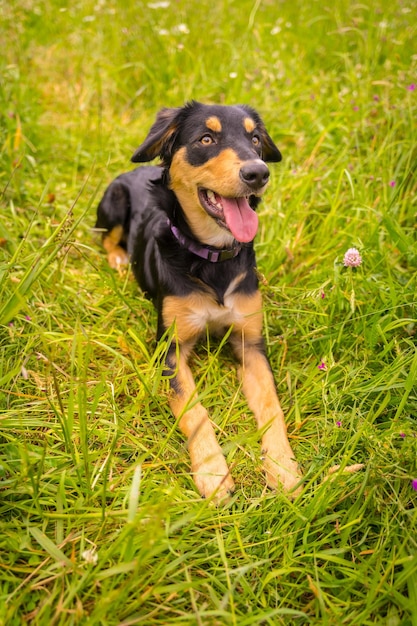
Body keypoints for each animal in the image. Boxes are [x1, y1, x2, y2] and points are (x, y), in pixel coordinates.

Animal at [96, 102, 300, 502]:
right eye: (206, 139)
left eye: (255, 138)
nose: (258, 172)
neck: (211, 258)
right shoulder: (170, 351)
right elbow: (196, 411)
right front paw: (213, 473)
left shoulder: (250, 343)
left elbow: (272, 406)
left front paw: (282, 467)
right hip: (114, 203)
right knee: (107, 238)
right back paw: (117, 259)